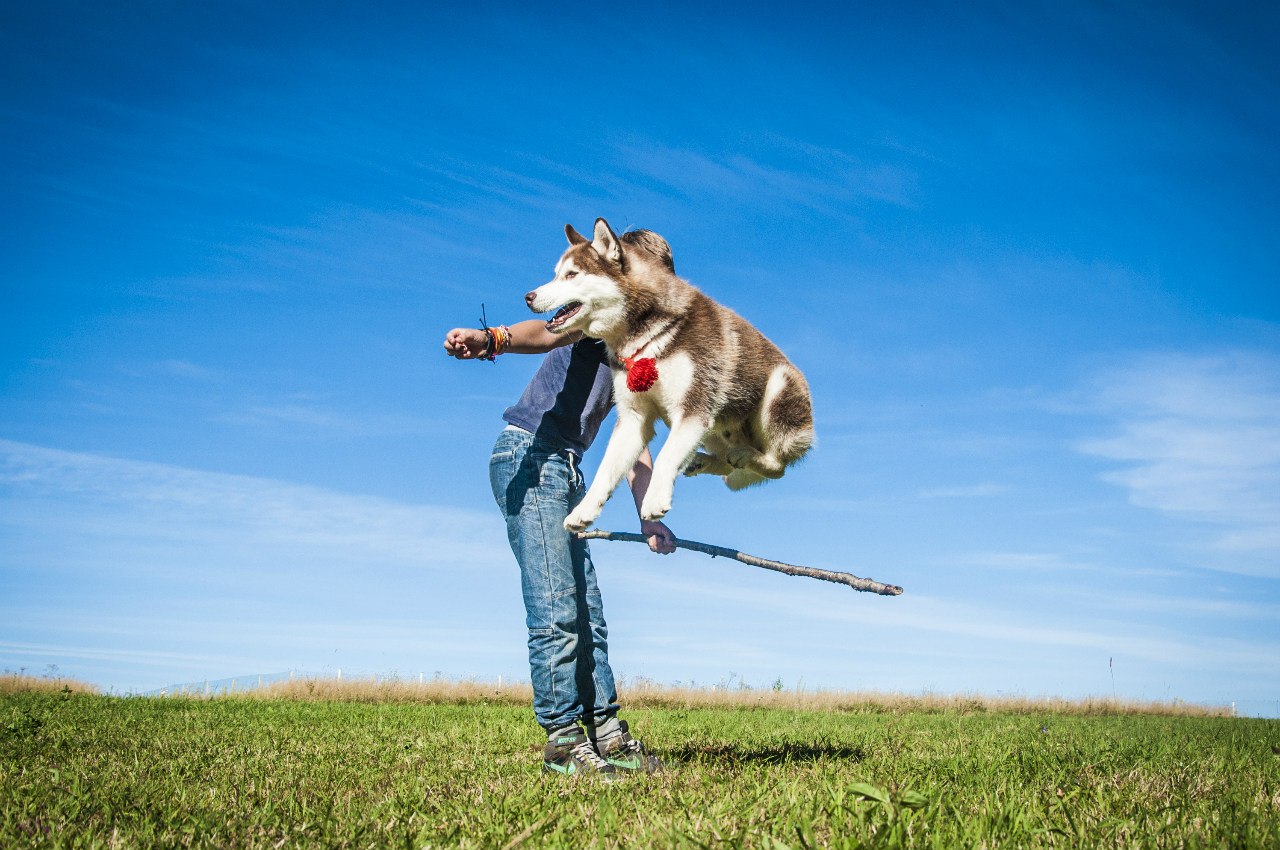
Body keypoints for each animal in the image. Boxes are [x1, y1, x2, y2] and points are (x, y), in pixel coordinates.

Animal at [524, 217, 814, 532]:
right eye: (556, 274)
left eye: (572, 274)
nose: (528, 296)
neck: (647, 335)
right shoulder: (634, 417)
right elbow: (606, 469)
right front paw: (584, 510)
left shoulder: (693, 409)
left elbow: (664, 457)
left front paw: (655, 499)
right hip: (715, 427)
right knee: (728, 460)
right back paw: (710, 461)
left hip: (778, 391)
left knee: (777, 467)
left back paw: (748, 455)